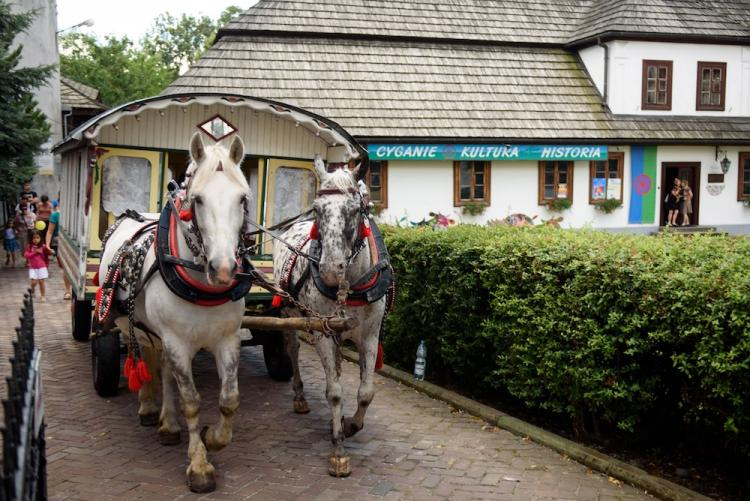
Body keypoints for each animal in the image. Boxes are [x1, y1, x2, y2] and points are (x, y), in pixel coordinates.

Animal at [98, 133, 253, 492]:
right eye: (197, 199)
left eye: (241, 198)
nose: (223, 270)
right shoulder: (177, 341)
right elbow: (192, 401)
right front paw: (199, 465)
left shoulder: (227, 339)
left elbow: (230, 399)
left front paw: (213, 438)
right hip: (135, 327)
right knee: (142, 356)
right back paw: (148, 407)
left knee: (165, 369)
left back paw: (168, 423)